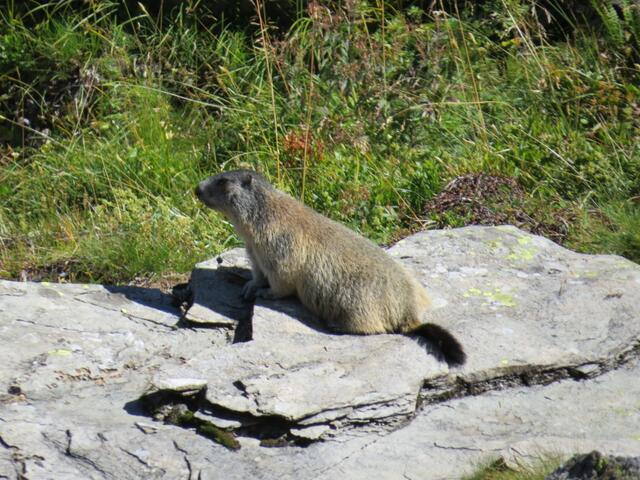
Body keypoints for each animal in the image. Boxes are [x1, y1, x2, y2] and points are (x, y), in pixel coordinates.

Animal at [195, 169, 466, 367]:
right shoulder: (254, 251)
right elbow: (258, 272)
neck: (262, 214)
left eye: (223, 181)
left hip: (358, 304)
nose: (196, 188)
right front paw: (250, 286)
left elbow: (282, 275)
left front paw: (266, 292)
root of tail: (410, 313)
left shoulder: (276, 243)